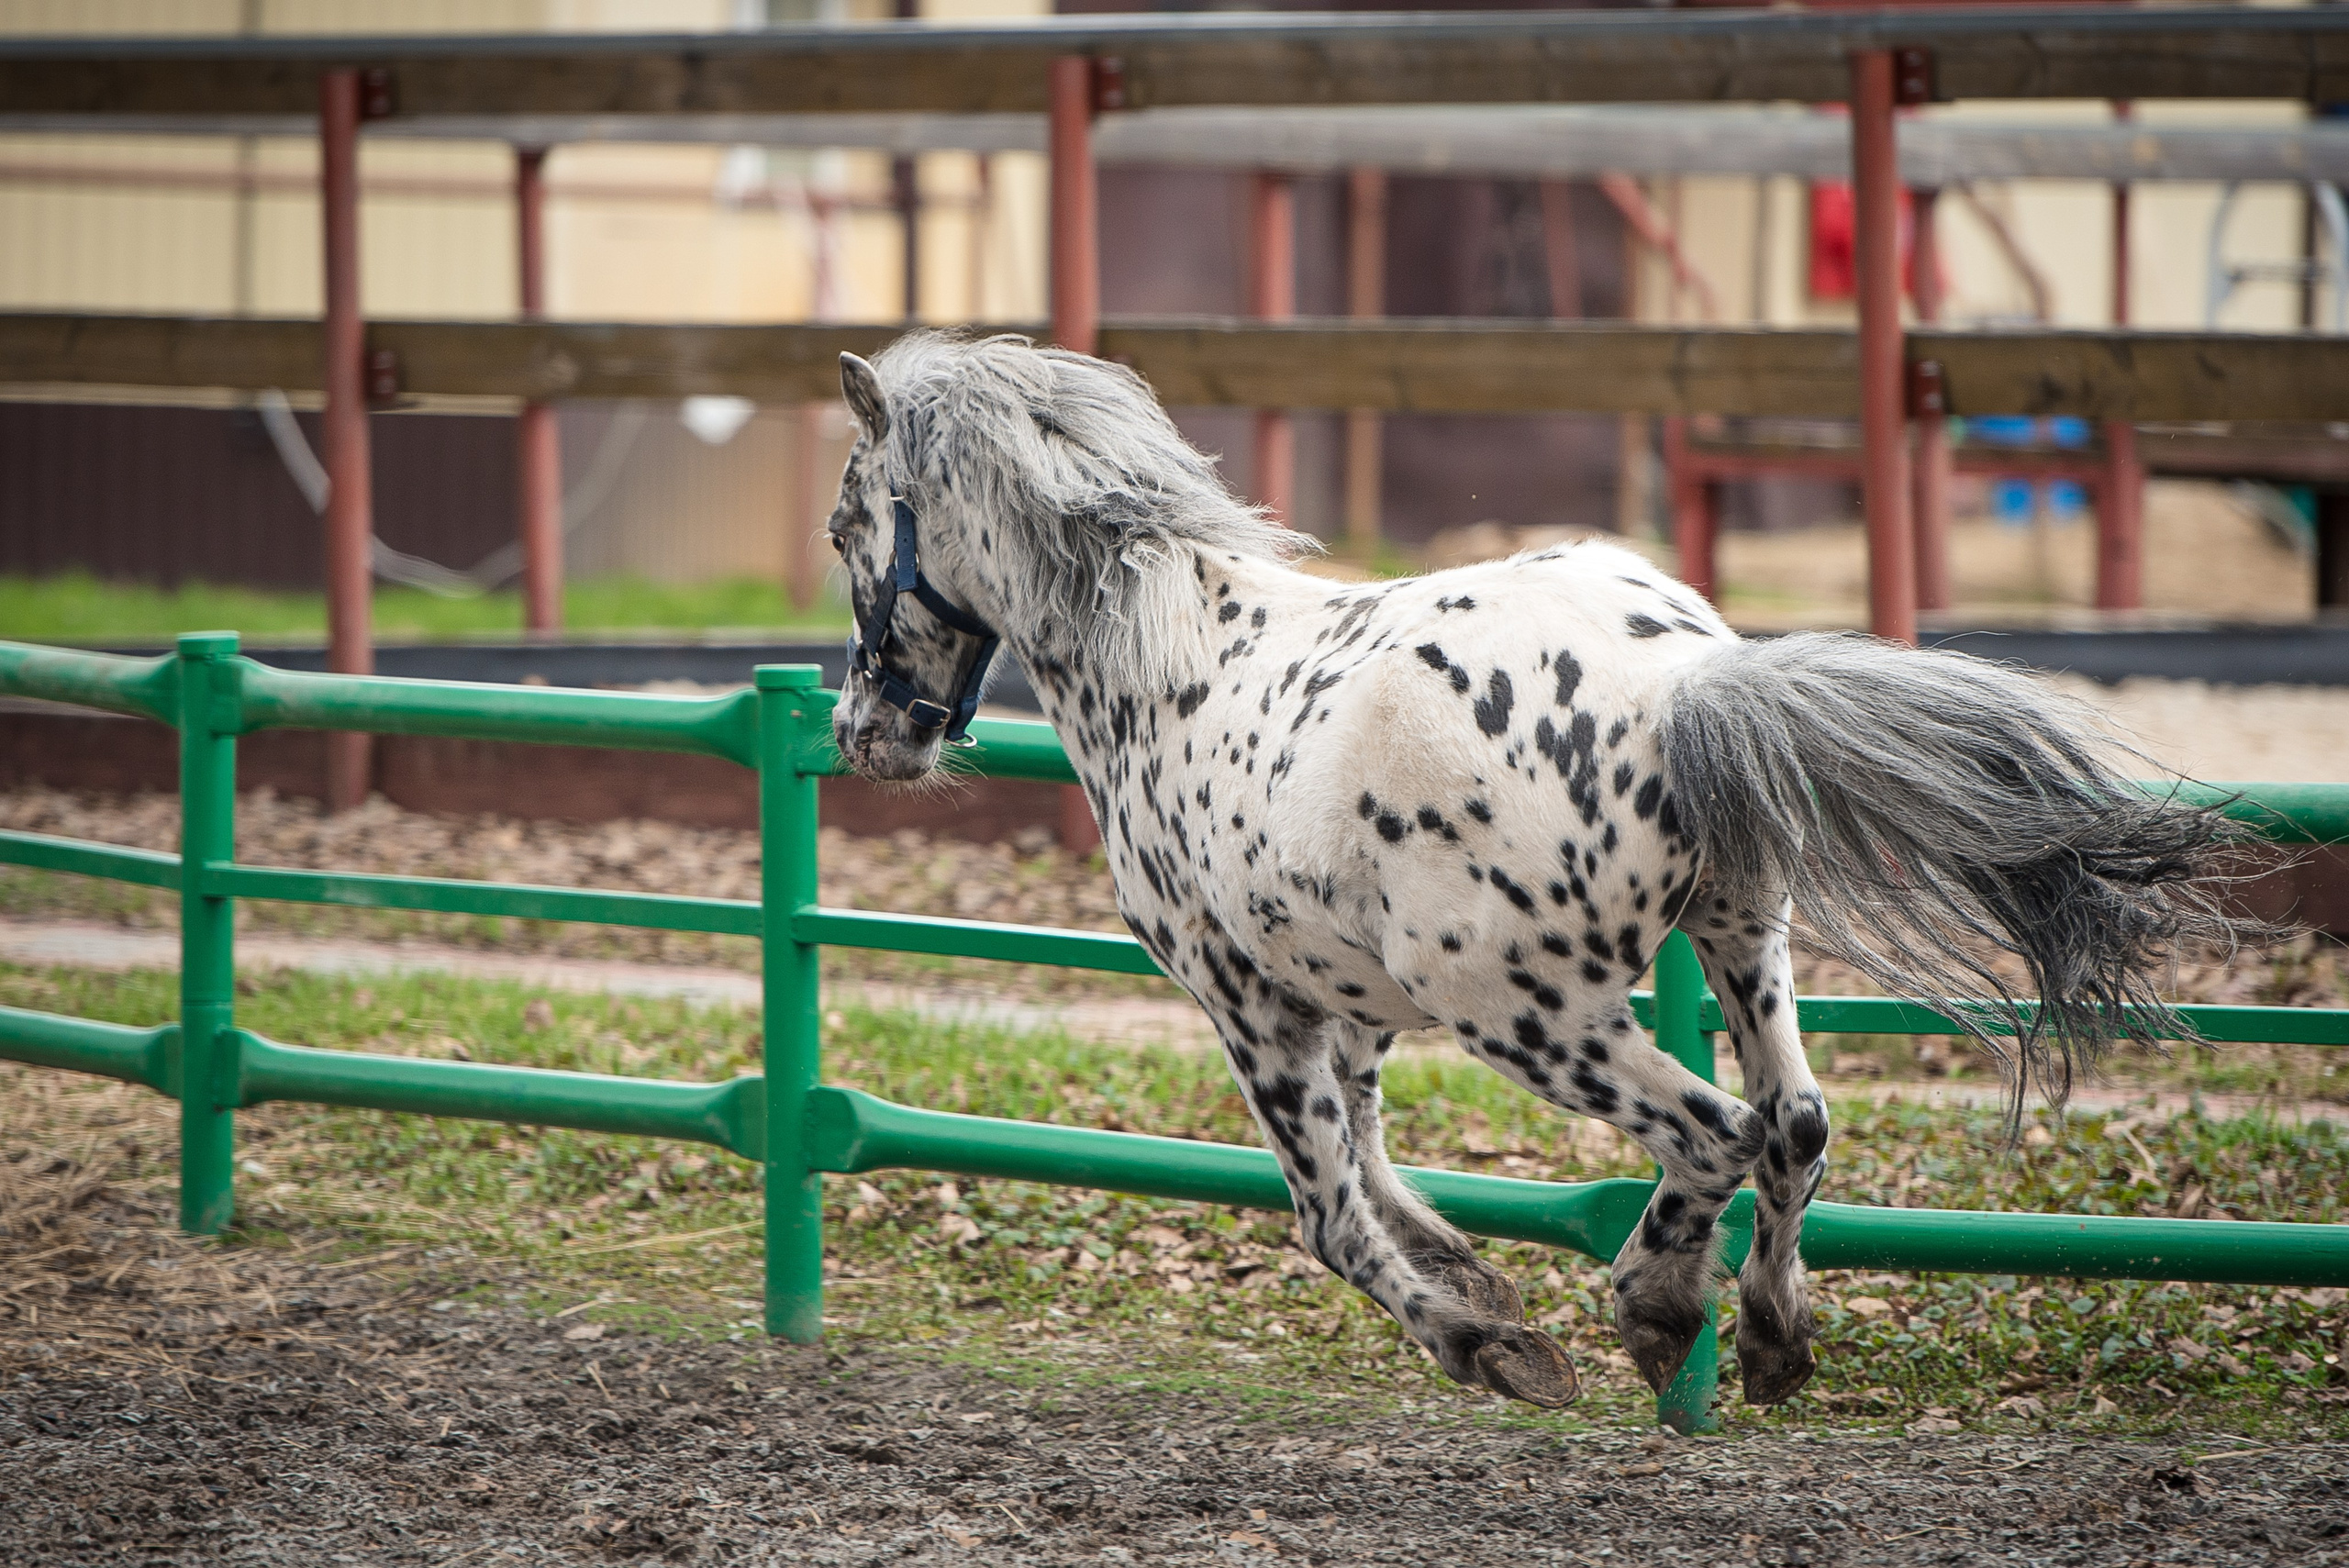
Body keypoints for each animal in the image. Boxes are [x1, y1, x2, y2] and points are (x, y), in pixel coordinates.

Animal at [820, 330, 2249, 1410]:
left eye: (846, 528)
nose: (863, 732)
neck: (1164, 664)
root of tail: (1684, 682)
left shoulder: (1250, 1006)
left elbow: (1329, 1211)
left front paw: (1488, 1340)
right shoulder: (1348, 1005)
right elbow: (1377, 1157)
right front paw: (1472, 1271)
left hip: (1528, 1014)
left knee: (1715, 1130)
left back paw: (1656, 1310)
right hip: (1737, 936)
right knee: (1793, 1121)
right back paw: (1770, 1337)